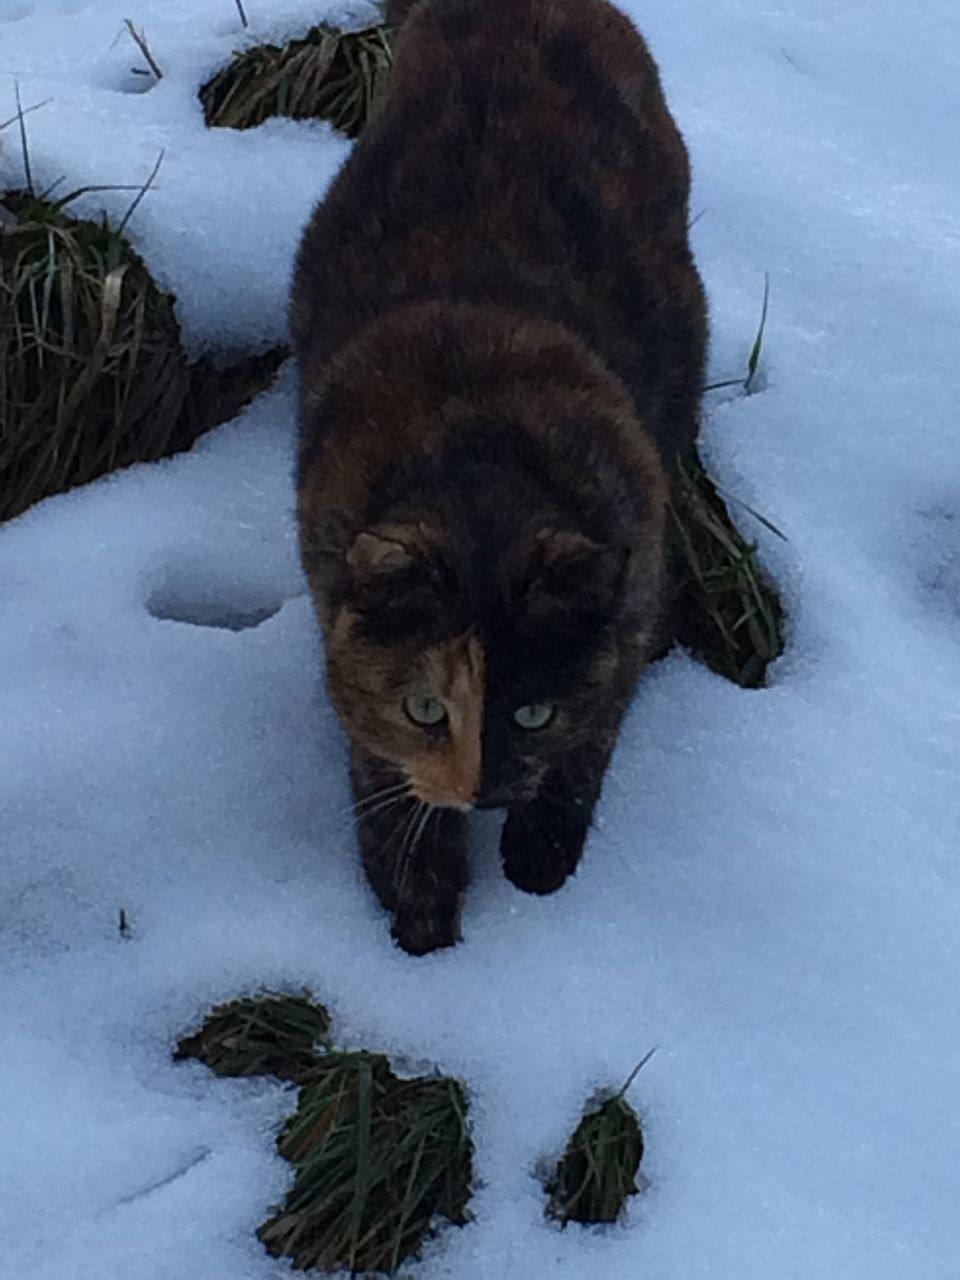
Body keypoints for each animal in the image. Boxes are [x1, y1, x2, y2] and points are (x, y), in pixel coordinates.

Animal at [291, 0, 706, 957]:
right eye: (423, 710)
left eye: (532, 715)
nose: (481, 793)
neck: (478, 459)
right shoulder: (335, 605)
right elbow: (379, 771)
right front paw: (419, 914)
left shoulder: (632, 597)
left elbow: (596, 735)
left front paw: (542, 859)